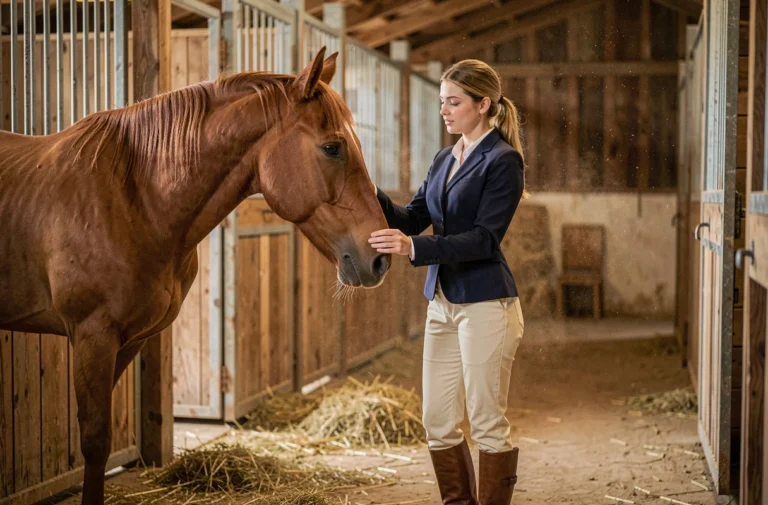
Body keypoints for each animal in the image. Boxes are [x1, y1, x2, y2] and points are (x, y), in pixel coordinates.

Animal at [0, 47, 390, 504]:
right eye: (332, 147)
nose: (378, 258)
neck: (132, 197)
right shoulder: (91, 334)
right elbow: (95, 442)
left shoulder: (129, 340)